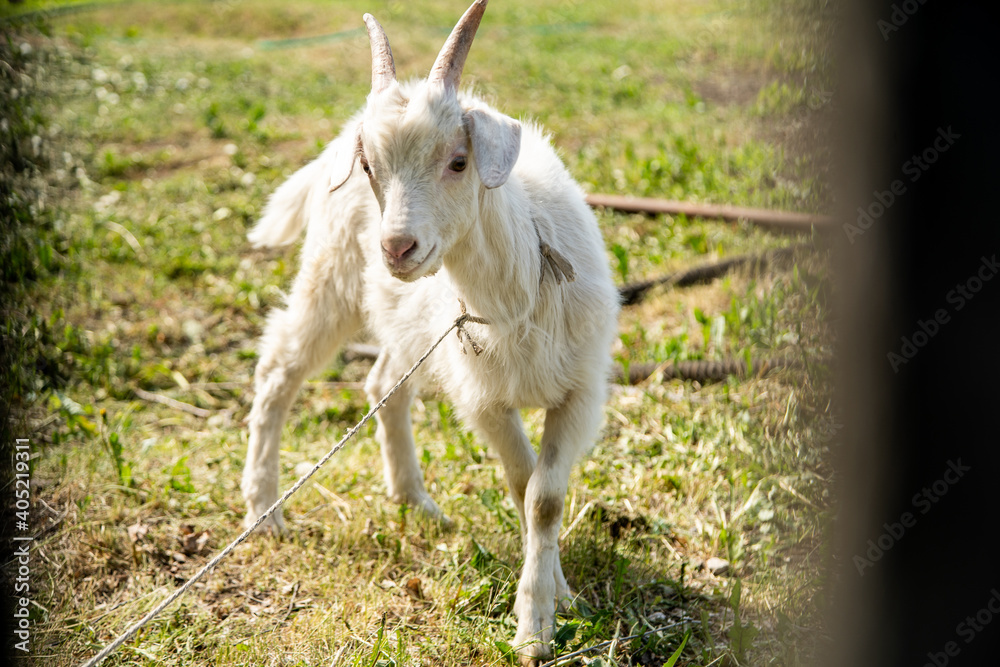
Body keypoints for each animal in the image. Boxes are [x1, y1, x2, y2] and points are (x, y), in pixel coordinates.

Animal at [240, 1, 620, 662]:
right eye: (371, 167)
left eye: (458, 161)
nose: (397, 248)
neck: (516, 293)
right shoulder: (486, 399)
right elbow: (525, 486)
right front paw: (536, 621)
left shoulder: (580, 390)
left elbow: (544, 498)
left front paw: (552, 608)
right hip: (331, 277)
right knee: (281, 366)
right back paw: (265, 508)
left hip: (407, 322)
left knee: (381, 384)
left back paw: (413, 499)